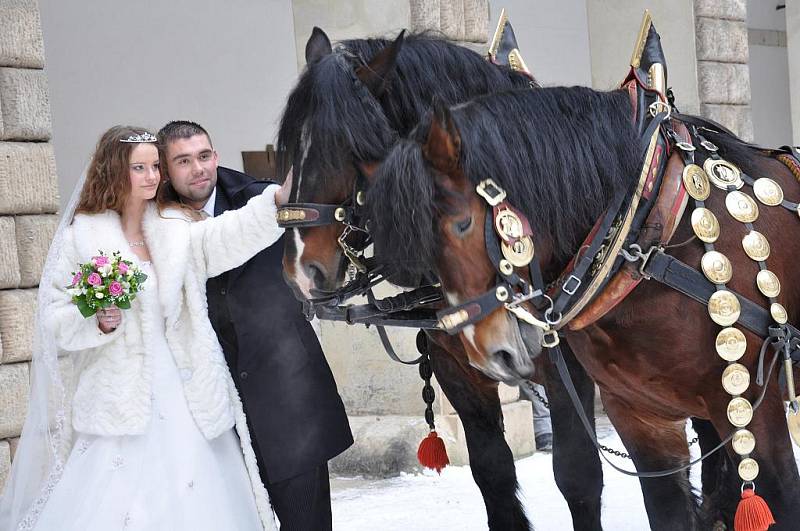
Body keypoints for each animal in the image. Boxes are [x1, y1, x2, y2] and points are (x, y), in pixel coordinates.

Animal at [278, 30, 604, 531]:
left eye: (350, 144)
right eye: (292, 144)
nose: (300, 269)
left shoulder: (570, 366)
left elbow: (579, 475)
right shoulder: (460, 372)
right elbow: (493, 472)